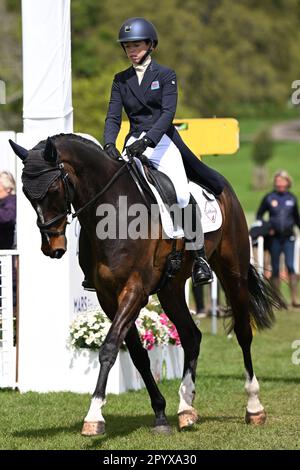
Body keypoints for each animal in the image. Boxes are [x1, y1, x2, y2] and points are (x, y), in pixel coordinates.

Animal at [9, 134, 286, 436]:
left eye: (53, 188)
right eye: (25, 193)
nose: (52, 247)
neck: (112, 213)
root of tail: (225, 190)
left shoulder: (135, 291)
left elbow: (108, 348)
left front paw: (94, 415)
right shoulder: (109, 297)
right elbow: (137, 354)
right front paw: (160, 414)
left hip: (232, 273)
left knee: (243, 333)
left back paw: (254, 407)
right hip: (171, 289)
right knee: (191, 335)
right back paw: (186, 408)